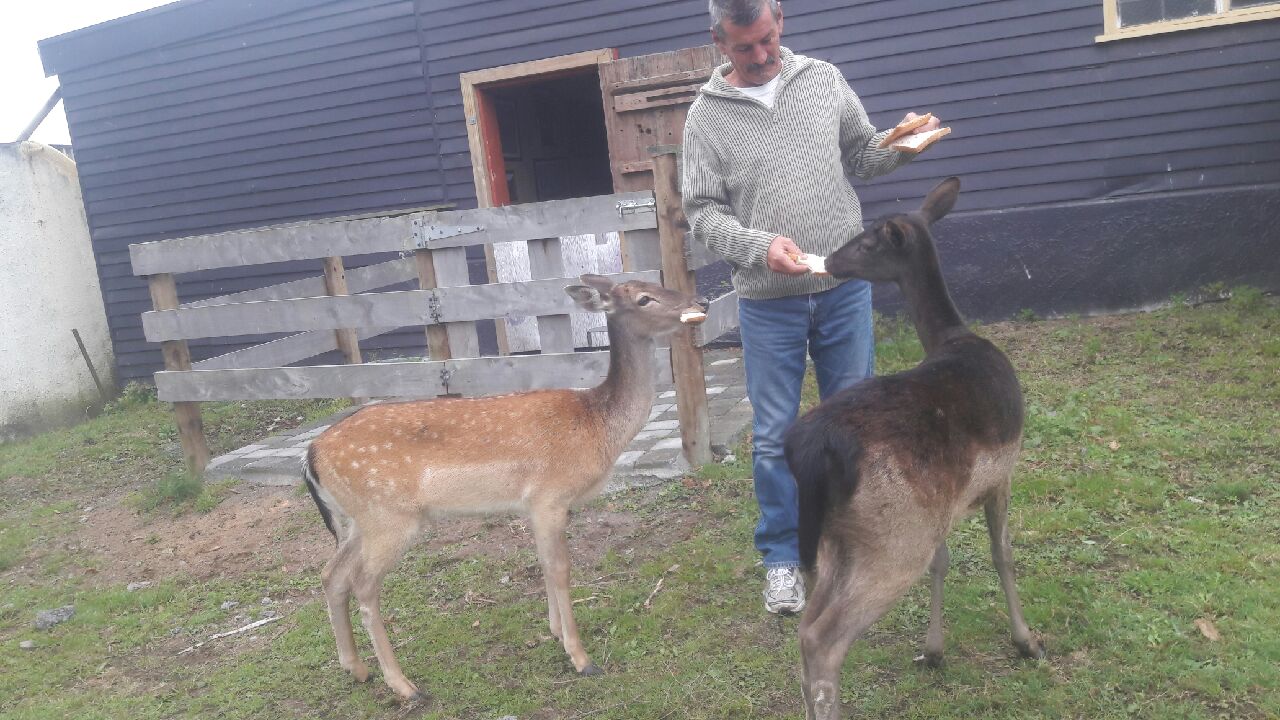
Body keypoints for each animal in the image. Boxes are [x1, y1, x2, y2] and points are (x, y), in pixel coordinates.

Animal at [307, 272, 711, 696]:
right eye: (644, 298)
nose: (701, 301)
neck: (598, 428)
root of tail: (312, 454)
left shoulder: (536, 505)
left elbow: (544, 563)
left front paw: (555, 632)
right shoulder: (549, 495)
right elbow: (560, 567)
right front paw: (581, 658)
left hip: (359, 520)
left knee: (331, 574)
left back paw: (356, 668)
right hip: (389, 516)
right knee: (364, 585)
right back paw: (403, 685)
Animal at [783, 175, 1044, 717]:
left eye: (866, 242)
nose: (830, 261)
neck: (954, 336)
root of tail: (811, 449)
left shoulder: (945, 500)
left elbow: (944, 561)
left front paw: (934, 650)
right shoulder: (1002, 473)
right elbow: (1002, 553)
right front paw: (1027, 642)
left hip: (841, 536)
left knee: (805, 627)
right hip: (894, 535)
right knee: (822, 638)